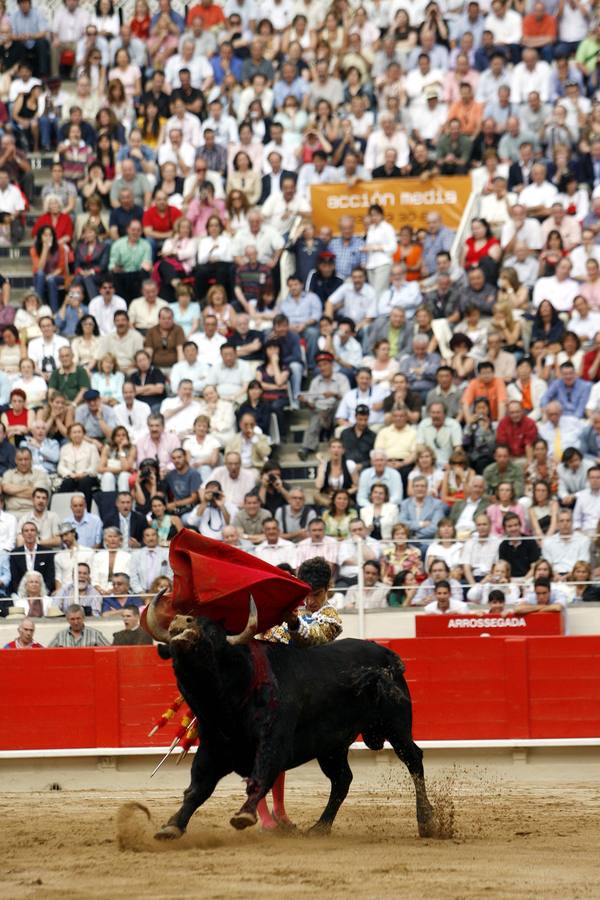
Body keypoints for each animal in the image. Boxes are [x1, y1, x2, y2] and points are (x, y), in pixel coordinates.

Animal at [148, 608, 434, 840]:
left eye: (212, 633)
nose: (181, 621)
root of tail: (386, 654)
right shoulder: (213, 749)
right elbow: (197, 789)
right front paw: (172, 826)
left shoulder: (274, 742)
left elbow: (261, 776)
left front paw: (244, 814)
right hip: (332, 746)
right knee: (342, 779)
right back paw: (320, 827)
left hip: (395, 726)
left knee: (413, 759)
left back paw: (427, 821)